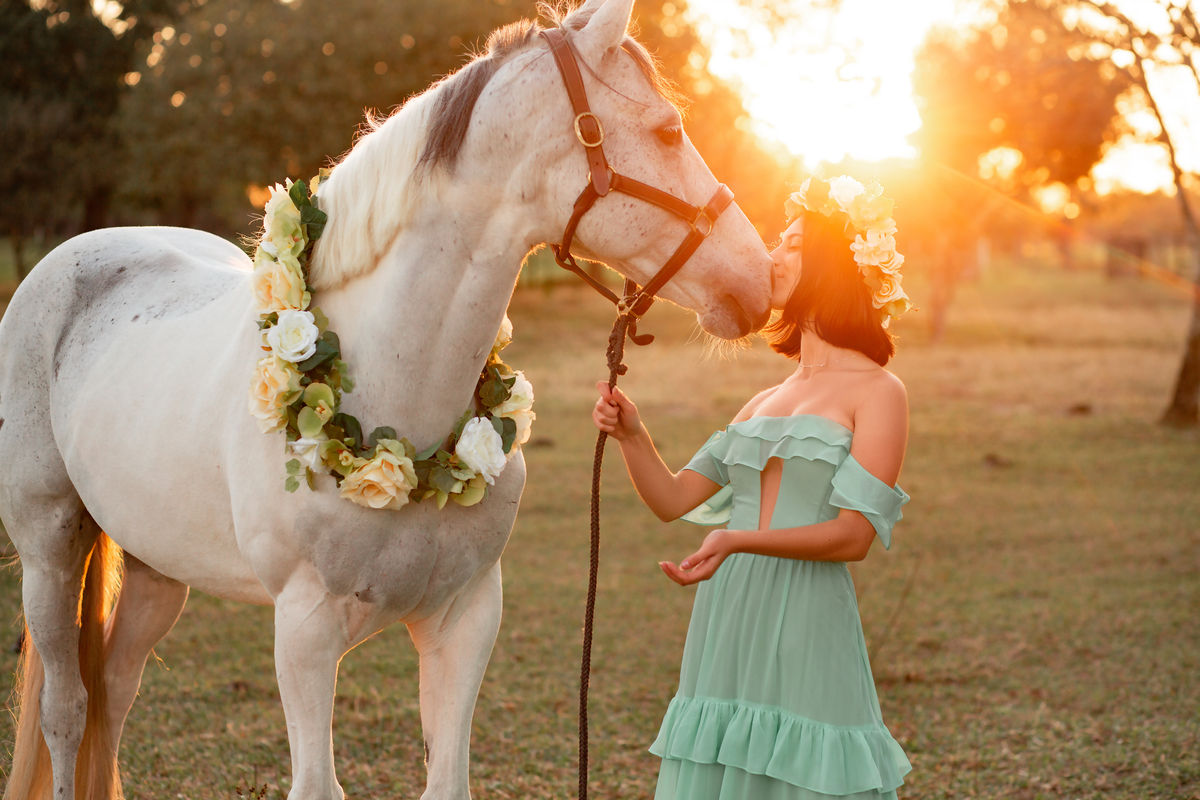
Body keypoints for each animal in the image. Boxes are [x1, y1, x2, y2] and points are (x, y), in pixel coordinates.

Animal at [0, 0, 772, 797]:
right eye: (668, 130)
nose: (763, 279)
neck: (396, 394)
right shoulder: (304, 631)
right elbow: (315, 783)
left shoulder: (465, 618)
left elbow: (448, 779)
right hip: (49, 548)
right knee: (69, 708)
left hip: (159, 568)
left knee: (115, 691)